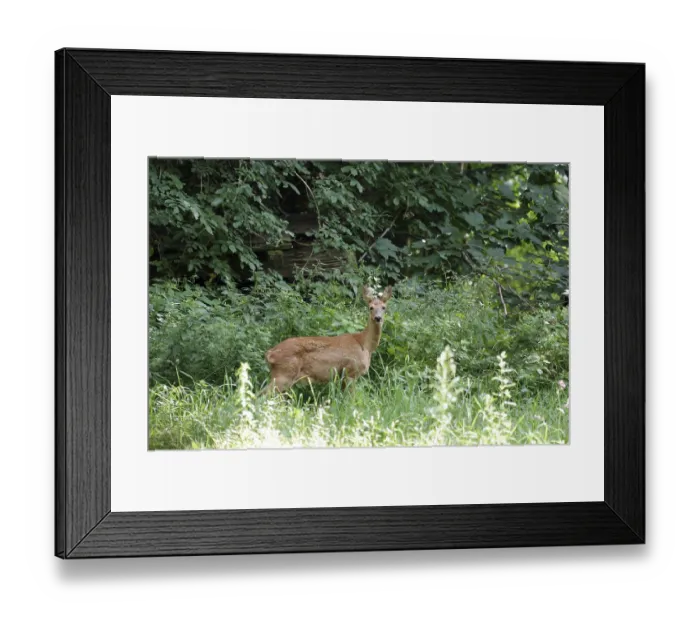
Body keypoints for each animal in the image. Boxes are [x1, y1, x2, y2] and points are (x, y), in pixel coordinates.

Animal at [262, 285, 392, 394]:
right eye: (371, 307)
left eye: (384, 307)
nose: (378, 318)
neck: (365, 345)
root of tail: (270, 353)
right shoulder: (351, 371)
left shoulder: (343, 375)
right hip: (284, 374)